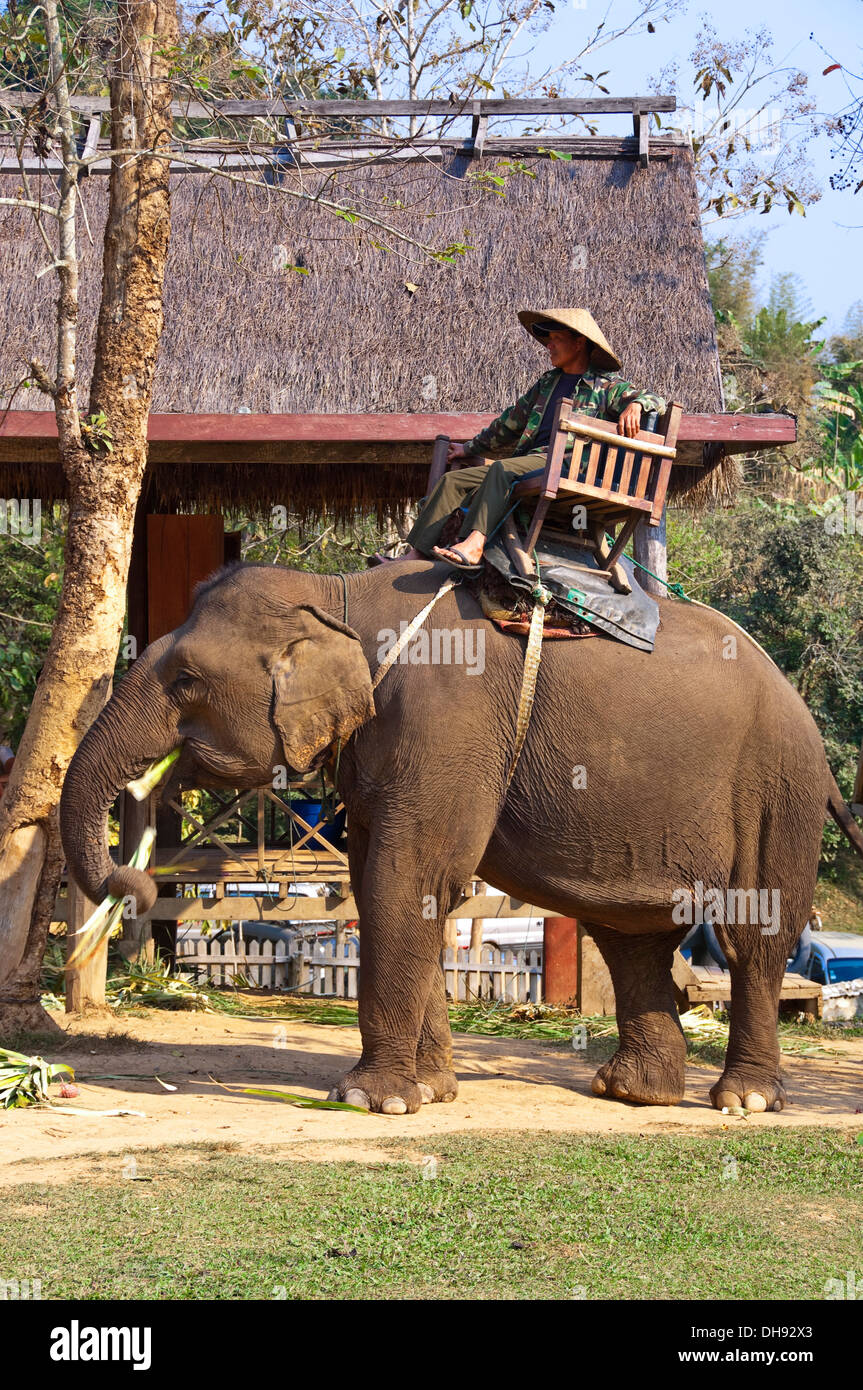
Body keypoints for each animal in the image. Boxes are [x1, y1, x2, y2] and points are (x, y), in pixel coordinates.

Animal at [60, 558, 861, 1112]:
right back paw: (631, 1092)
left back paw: (742, 1101)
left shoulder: (442, 723)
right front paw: (433, 1091)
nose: (134, 885)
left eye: (186, 680)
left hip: (775, 791)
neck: (339, 598)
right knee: (631, 935)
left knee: (751, 935)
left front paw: (369, 1100)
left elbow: (405, 878)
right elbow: (395, 888)